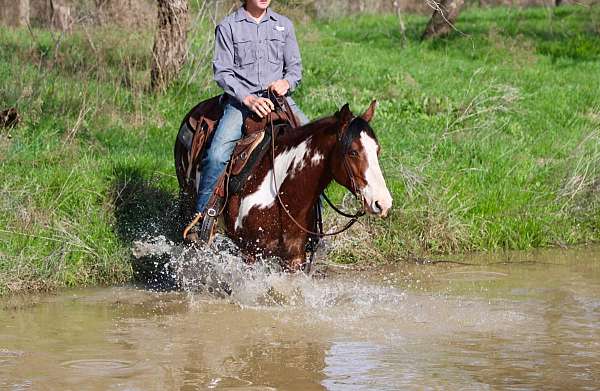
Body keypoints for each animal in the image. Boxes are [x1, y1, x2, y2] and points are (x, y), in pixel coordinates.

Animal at [173, 99, 394, 272]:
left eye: (377, 150)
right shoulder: (249, 253)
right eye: (353, 152)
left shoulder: (294, 258)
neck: (282, 191)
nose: (383, 203)